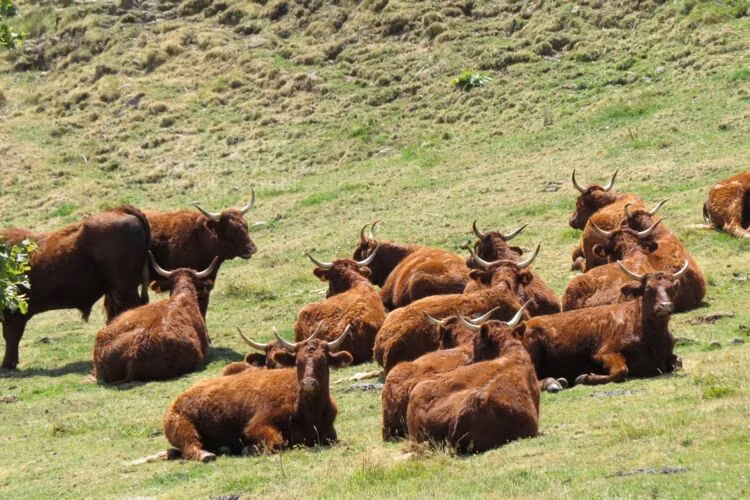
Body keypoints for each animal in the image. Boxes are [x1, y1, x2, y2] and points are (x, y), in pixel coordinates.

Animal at [162, 326, 352, 462]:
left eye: (324, 362)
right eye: (298, 362)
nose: (308, 384)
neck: (309, 413)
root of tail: (179, 399)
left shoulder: (330, 432)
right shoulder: (257, 425)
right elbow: (277, 442)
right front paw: (251, 448)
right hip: (183, 427)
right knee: (190, 446)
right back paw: (207, 454)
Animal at [520, 261, 686, 386]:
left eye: (671, 288)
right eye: (648, 289)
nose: (665, 306)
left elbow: (678, 361)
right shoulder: (604, 353)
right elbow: (621, 371)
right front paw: (585, 377)